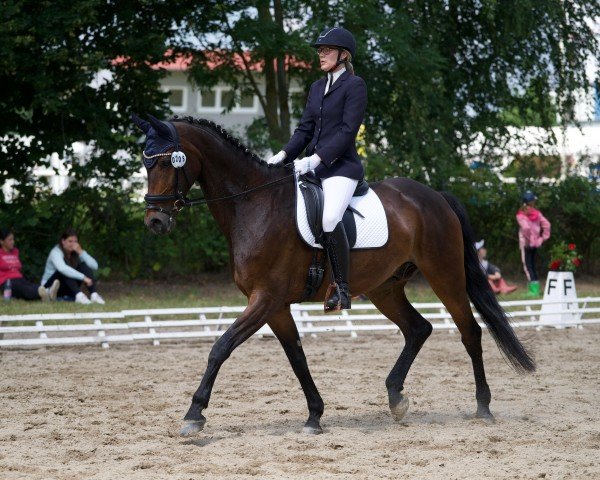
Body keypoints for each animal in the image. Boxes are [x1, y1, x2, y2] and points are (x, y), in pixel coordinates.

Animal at [132, 114, 536, 436]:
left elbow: (220, 348)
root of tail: (435, 195)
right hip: (385, 288)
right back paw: (396, 397)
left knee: (470, 331)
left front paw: (194, 414)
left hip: (445, 275)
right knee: (418, 329)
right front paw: (314, 415)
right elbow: (296, 356)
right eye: (146, 164)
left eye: (168, 162)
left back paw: (483, 406)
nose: (155, 222)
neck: (254, 204)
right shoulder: (274, 306)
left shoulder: (265, 298)